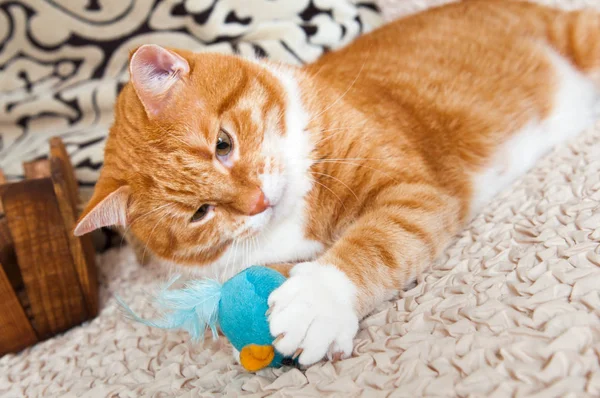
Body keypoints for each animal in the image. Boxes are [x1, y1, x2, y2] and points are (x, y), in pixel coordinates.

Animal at [74, 0, 600, 366]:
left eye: (223, 144)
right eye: (199, 213)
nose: (257, 202)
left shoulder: (409, 190)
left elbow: (375, 242)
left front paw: (317, 302)